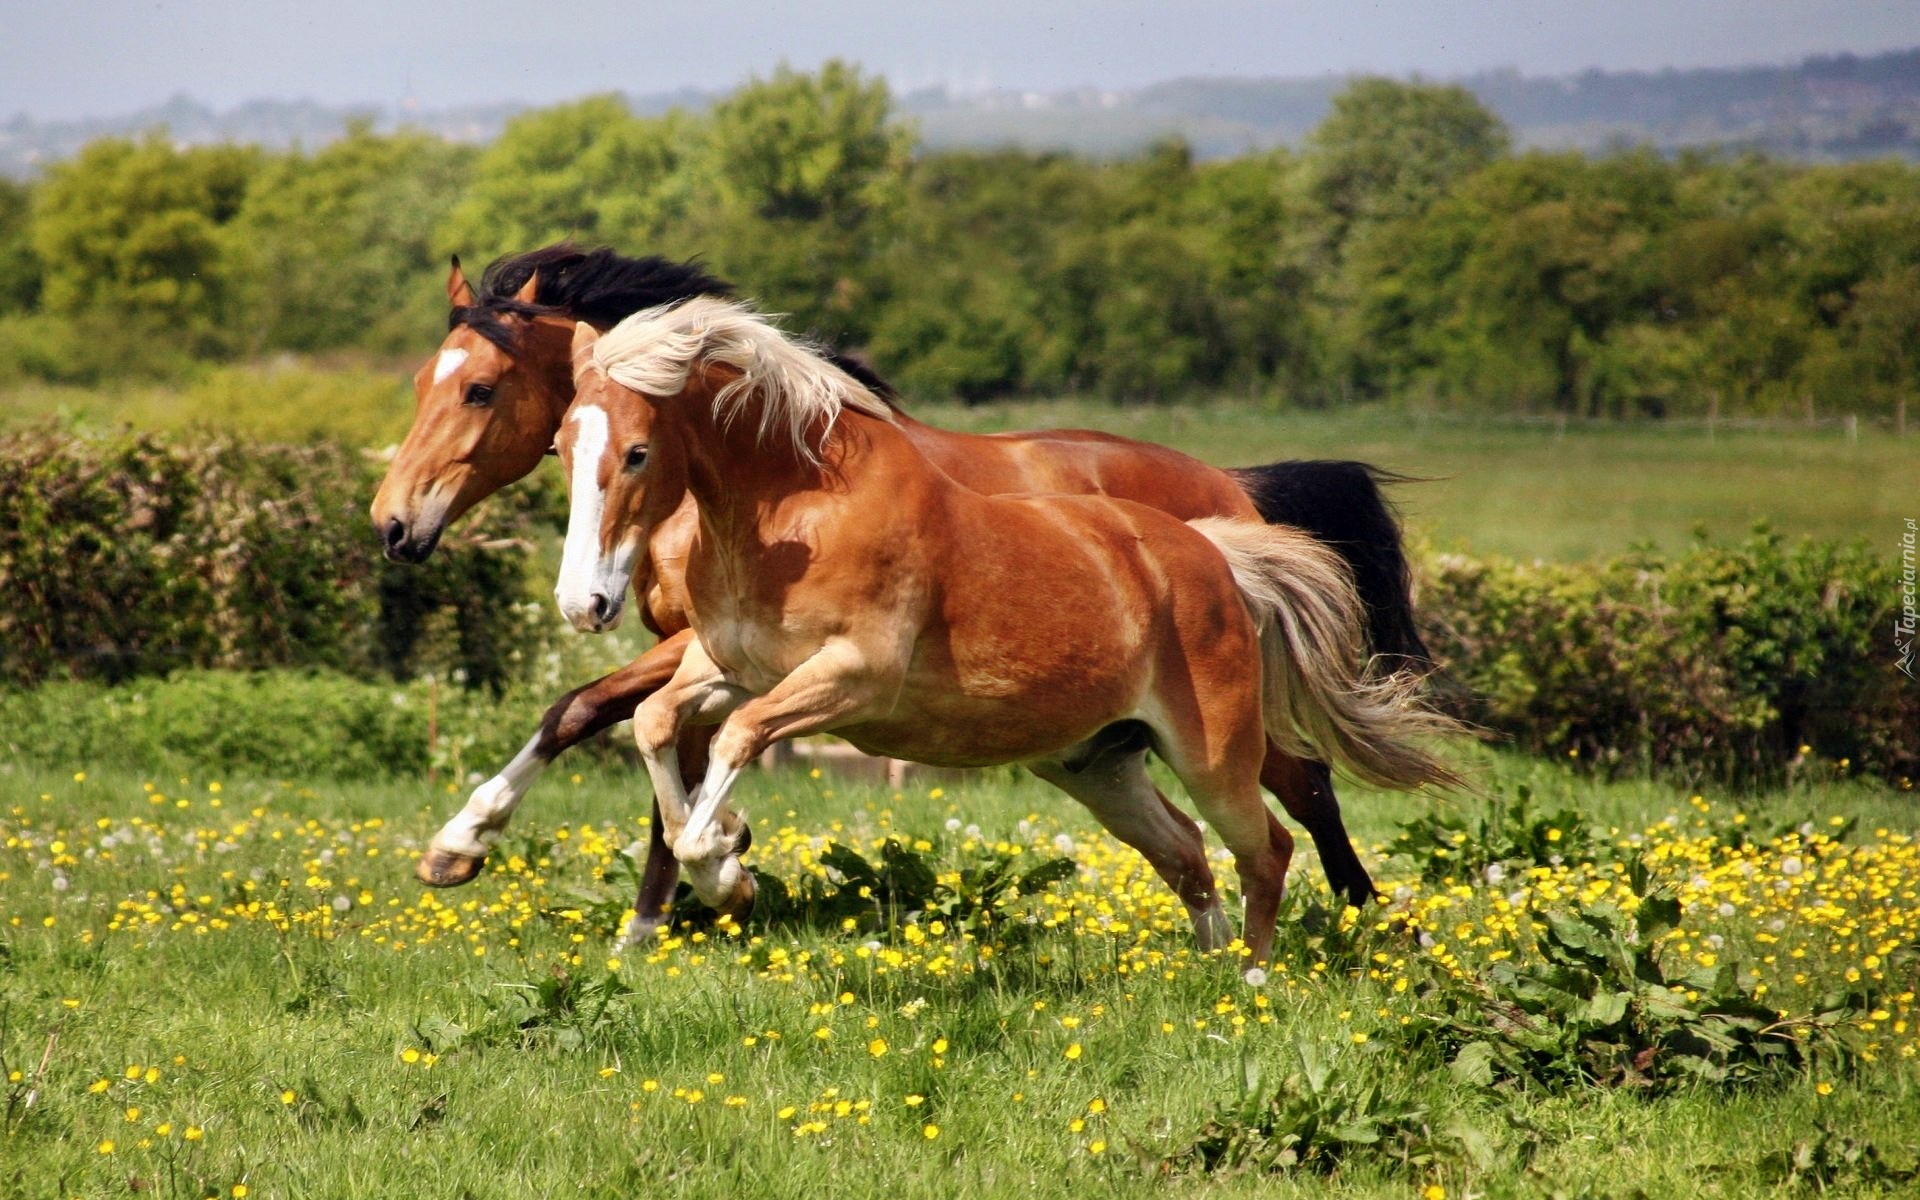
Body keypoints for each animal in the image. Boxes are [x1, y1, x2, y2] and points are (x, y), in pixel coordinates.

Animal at [370, 243, 1428, 933]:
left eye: (477, 389)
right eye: (421, 381)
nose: (393, 525)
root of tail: (1231, 489)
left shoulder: (692, 645)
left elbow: (589, 711)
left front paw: (673, 885)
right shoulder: (707, 649)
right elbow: (641, 735)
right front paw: (672, 896)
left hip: (1215, 716)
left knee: (1304, 791)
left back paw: (1365, 928)